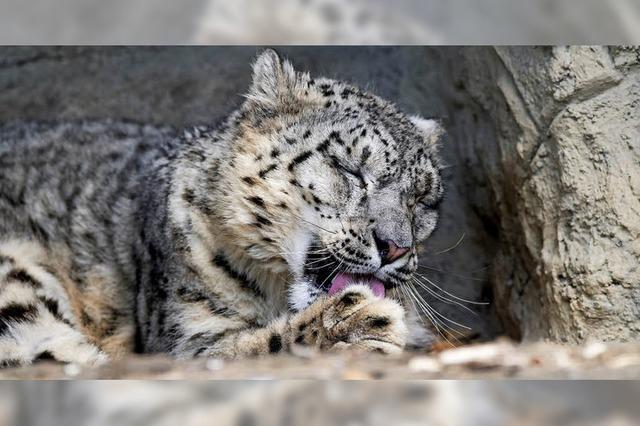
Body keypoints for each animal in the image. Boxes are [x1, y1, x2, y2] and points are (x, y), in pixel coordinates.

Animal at [0, 48, 442, 364]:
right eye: (350, 169)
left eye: (422, 200)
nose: (395, 248)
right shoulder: (187, 336)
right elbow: (241, 348)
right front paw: (357, 322)